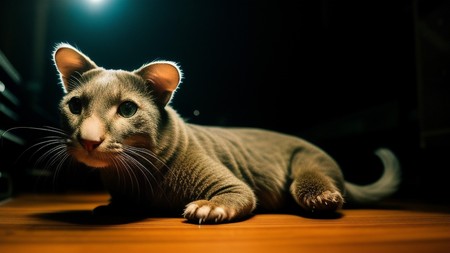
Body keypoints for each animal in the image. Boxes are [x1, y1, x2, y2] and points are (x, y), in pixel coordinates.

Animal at [51, 43, 402, 223]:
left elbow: (236, 195)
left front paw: (207, 207)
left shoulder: (232, 185)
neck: (130, 178)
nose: (89, 139)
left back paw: (321, 197)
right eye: (75, 105)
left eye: (126, 109)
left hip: (307, 162)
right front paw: (111, 207)